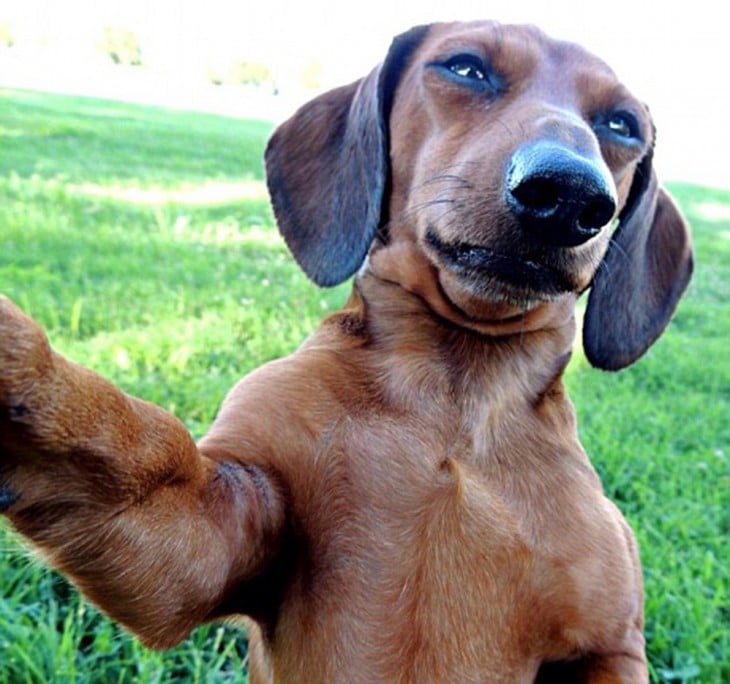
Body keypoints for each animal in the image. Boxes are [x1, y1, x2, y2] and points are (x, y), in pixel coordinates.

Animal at [0, 18, 692, 680]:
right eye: (466, 67)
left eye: (621, 123)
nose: (571, 193)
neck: (456, 399)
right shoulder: (206, 531)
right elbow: (135, 437)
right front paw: (18, 359)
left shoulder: (612, 647)